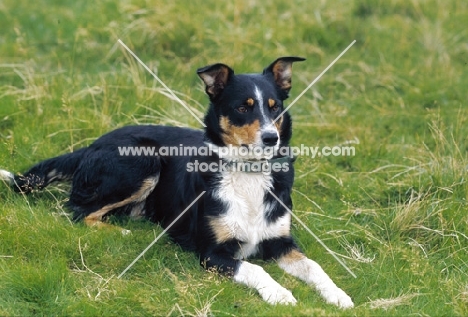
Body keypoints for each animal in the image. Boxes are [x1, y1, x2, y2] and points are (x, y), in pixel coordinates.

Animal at [0, 56, 352, 306]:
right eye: (242, 107)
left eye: (274, 107)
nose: (271, 138)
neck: (247, 173)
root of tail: (93, 143)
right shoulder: (213, 253)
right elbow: (255, 267)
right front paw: (280, 294)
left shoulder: (281, 242)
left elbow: (315, 267)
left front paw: (338, 295)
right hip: (143, 159)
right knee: (77, 211)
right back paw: (123, 232)